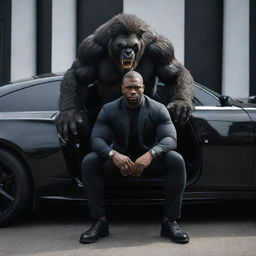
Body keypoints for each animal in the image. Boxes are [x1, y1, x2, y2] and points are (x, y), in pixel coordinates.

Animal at [56, 13, 194, 141]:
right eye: (121, 45)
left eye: (133, 45)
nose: (128, 52)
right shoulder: (89, 49)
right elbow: (78, 74)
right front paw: (69, 113)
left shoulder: (162, 49)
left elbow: (174, 73)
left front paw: (180, 103)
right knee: (82, 122)